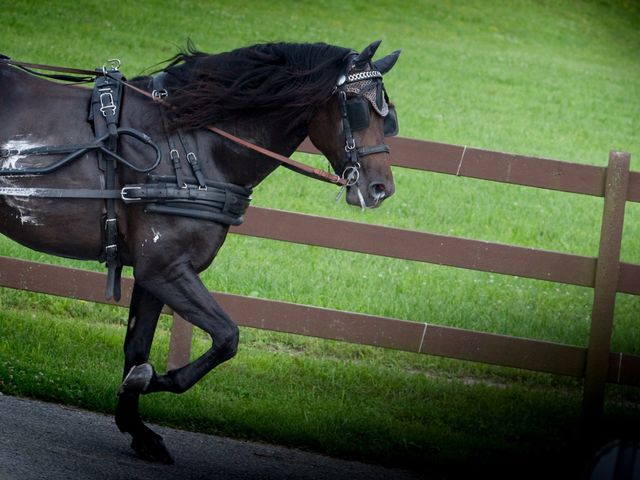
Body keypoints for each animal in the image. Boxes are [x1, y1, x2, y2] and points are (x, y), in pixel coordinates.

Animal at [0, 40, 400, 462]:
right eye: (357, 107)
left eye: (387, 114)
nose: (380, 188)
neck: (187, 144)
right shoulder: (165, 268)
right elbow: (227, 337)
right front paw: (148, 382)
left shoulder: (154, 273)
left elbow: (137, 348)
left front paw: (137, 426)